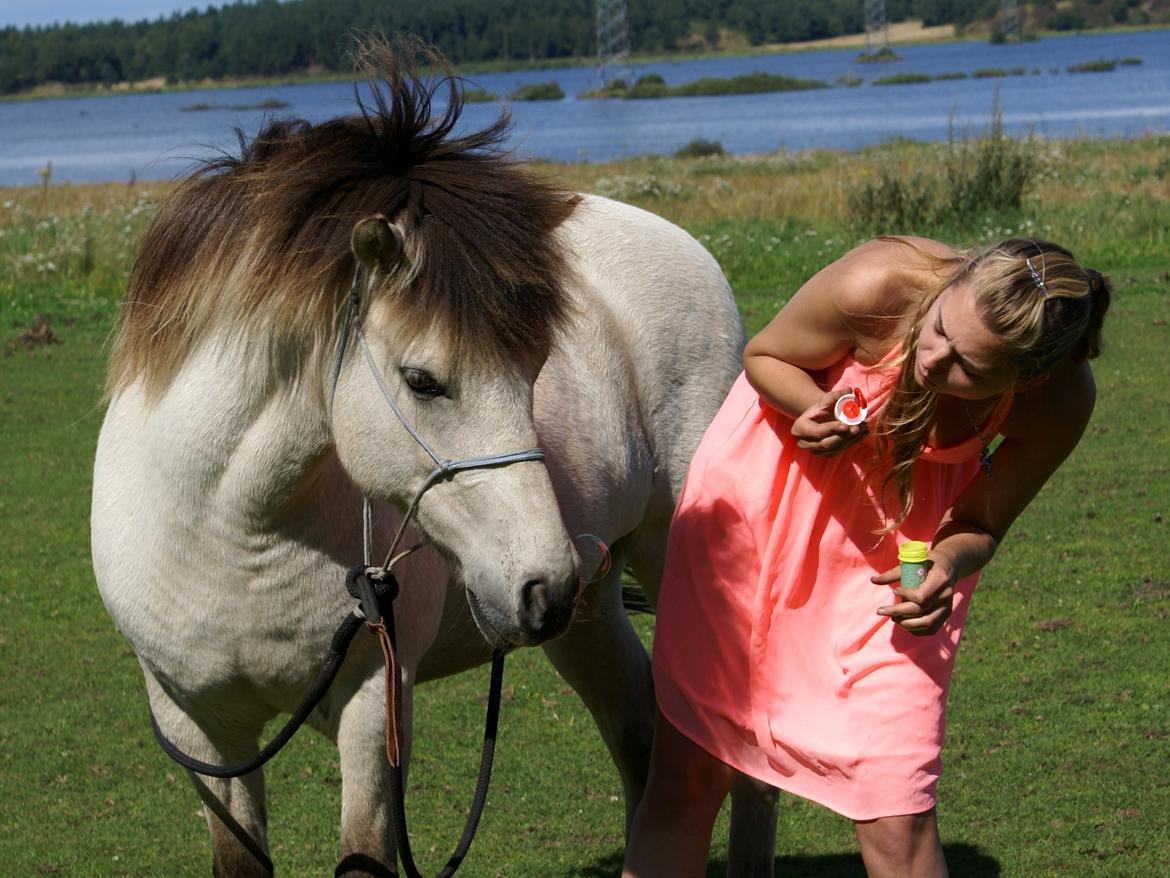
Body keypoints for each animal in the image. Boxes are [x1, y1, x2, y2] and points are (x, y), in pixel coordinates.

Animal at [93, 41, 748, 878]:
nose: (542, 583)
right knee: (639, 737)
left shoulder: (374, 704)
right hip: (592, 610)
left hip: (667, 560)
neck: (231, 532)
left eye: (535, 368)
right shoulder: (199, 731)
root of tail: (686, 248)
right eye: (423, 380)